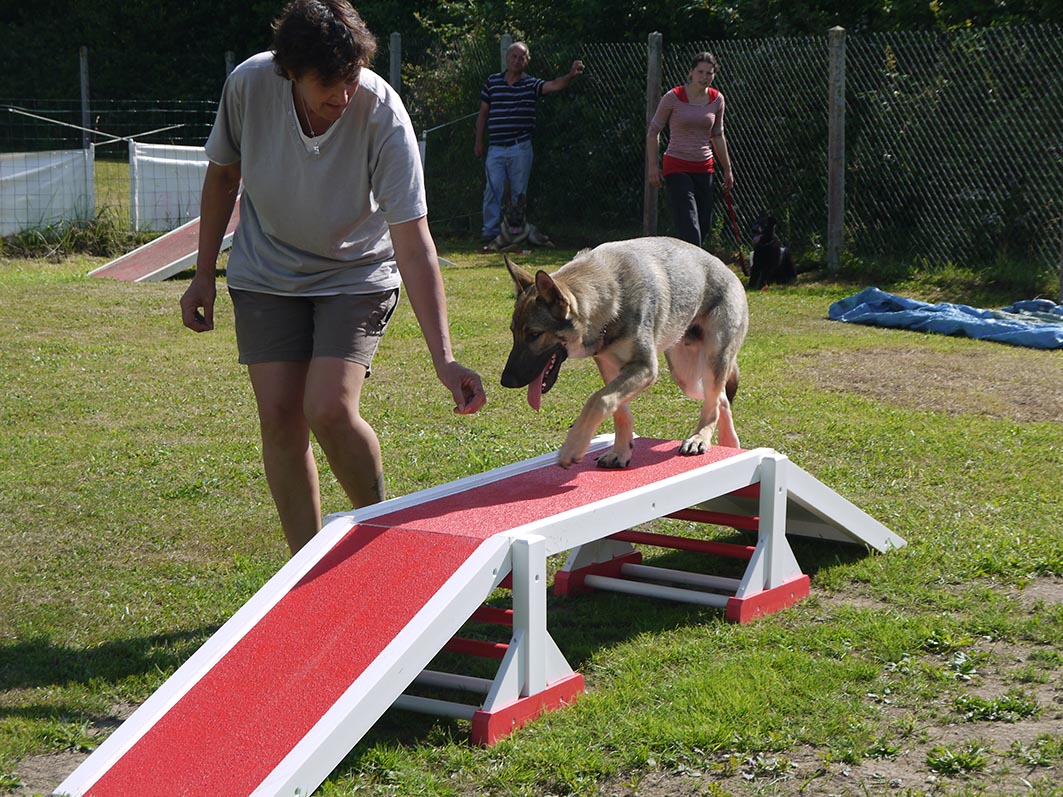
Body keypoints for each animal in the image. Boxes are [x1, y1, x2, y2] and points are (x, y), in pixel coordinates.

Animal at [497, 240, 748, 471]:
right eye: (513, 332)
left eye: (534, 334)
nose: (506, 381)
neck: (611, 300)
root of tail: (729, 271)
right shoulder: (611, 369)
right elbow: (618, 410)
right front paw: (620, 452)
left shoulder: (645, 368)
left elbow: (598, 400)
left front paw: (574, 445)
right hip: (686, 376)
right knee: (719, 398)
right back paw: (729, 443)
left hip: (711, 360)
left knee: (713, 400)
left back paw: (700, 438)